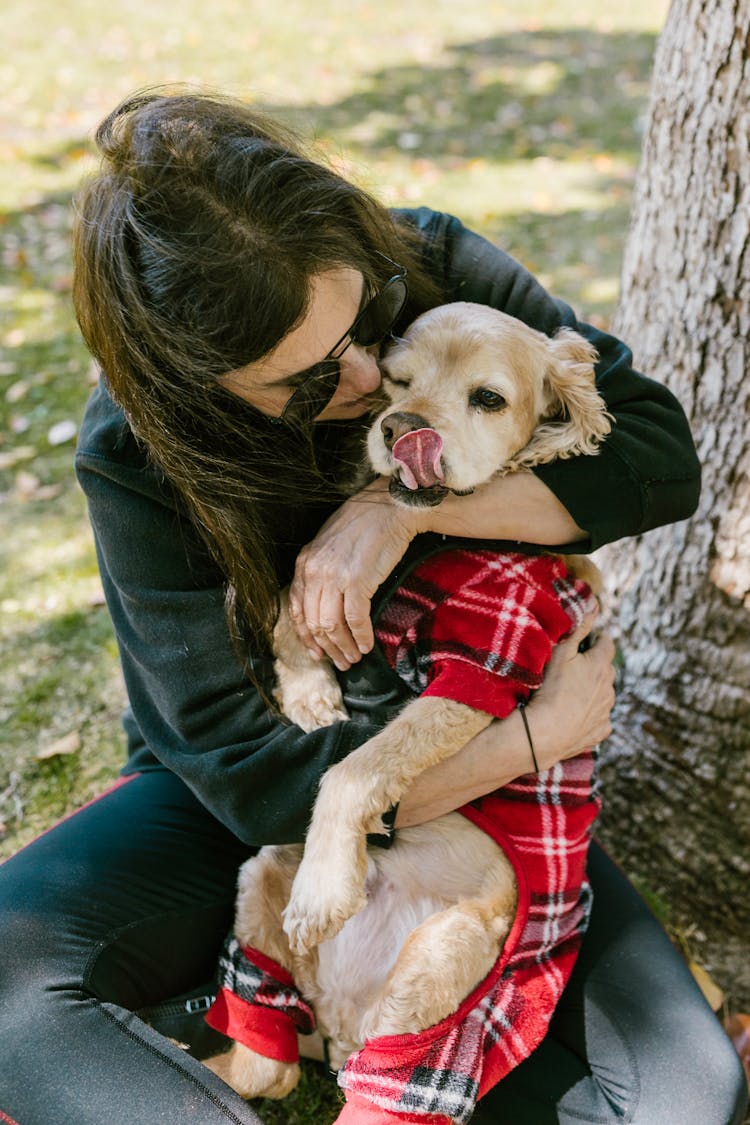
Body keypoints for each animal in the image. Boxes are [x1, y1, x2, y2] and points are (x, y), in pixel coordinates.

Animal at [203, 303, 611, 1120]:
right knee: (269, 1063)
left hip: (440, 971)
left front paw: (327, 884)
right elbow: (297, 599)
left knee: (378, 1083)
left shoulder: (481, 669)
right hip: (260, 876)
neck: (443, 538)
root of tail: (339, 1019)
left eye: (487, 398)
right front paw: (310, 692)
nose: (400, 427)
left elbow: (357, 769)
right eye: (395, 380)